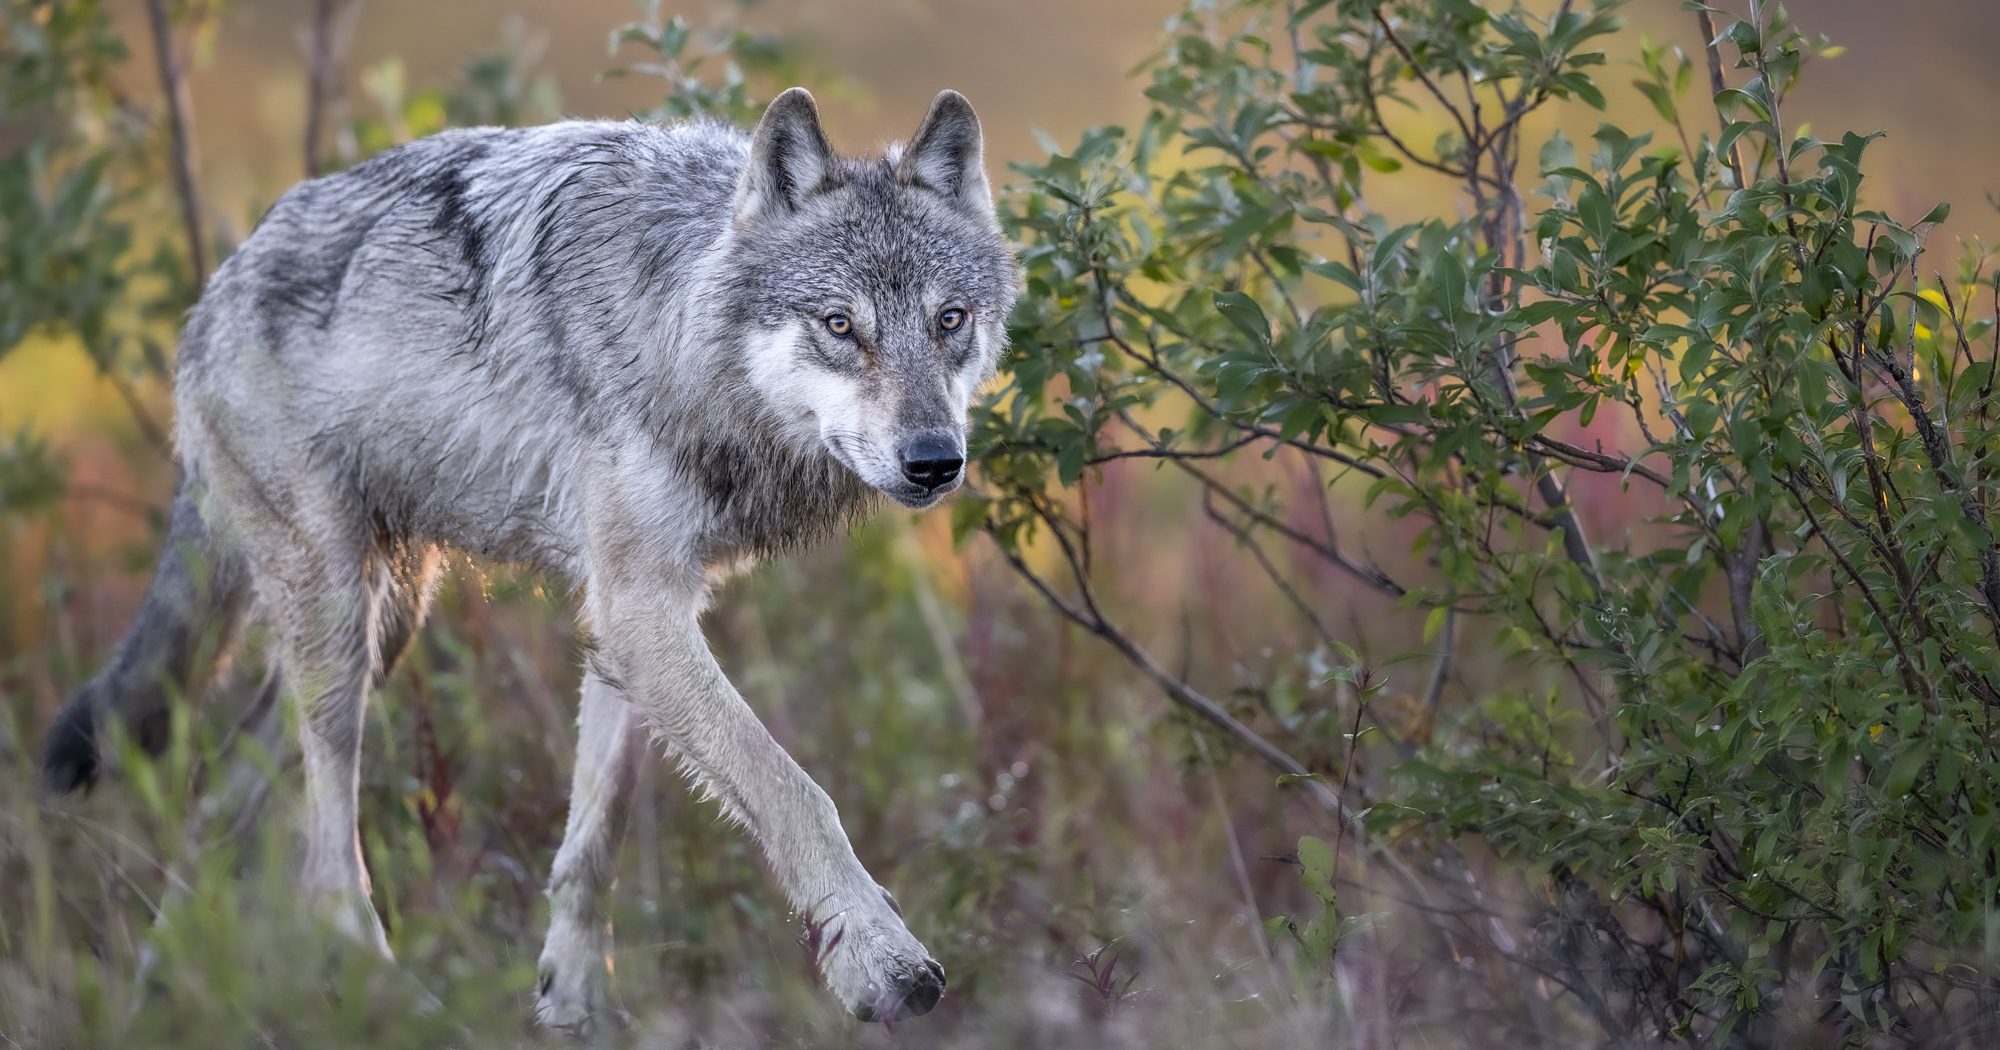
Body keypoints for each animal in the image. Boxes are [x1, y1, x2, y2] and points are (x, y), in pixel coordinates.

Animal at [39, 86, 1017, 1029]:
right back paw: (392, 999)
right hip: (340, 629)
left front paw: (574, 1002)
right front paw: (882, 963)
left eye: (950, 320)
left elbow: (595, 839)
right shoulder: (640, 610)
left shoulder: (630, 621)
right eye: (840, 325)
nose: (935, 460)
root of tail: (212, 294)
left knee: (217, 796)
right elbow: (795, 792)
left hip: (383, 631)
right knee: (323, 864)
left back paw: (166, 988)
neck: (672, 327)